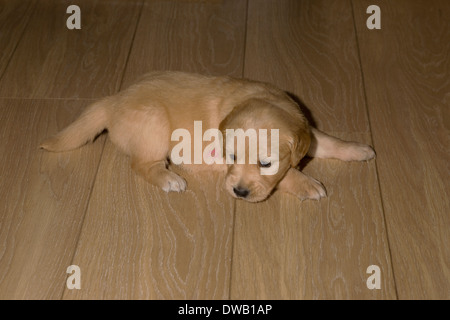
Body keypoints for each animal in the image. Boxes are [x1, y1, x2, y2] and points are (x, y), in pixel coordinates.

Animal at [40, 72, 374, 202]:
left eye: (265, 163)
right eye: (232, 157)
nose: (239, 192)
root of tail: (113, 101)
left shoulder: (308, 130)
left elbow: (327, 141)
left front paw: (359, 149)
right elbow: (289, 174)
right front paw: (308, 184)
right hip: (155, 126)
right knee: (142, 165)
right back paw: (170, 179)